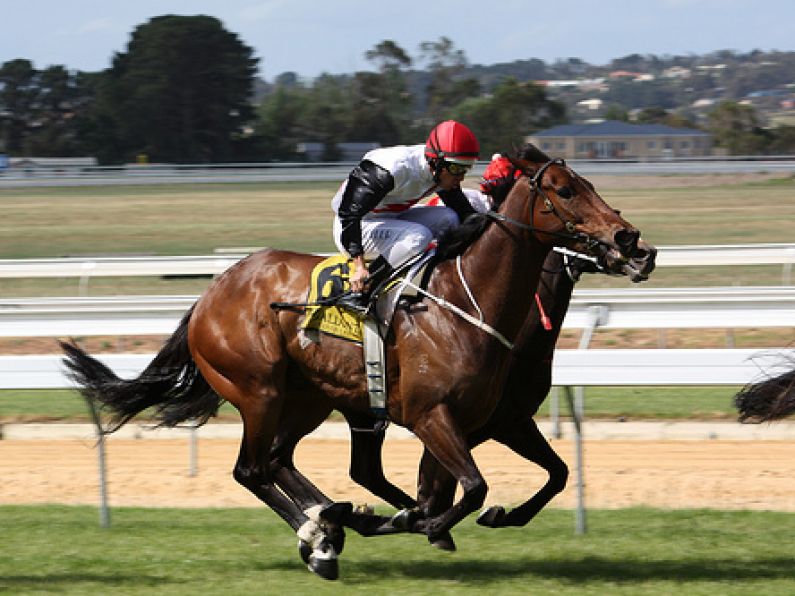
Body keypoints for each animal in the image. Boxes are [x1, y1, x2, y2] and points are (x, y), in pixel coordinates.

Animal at [60, 146, 648, 584]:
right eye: (566, 191)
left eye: (589, 183)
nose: (631, 240)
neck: (467, 301)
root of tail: (211, 293)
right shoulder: (435, 417)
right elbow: (469, 488)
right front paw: (417, 520)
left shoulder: (492, 419)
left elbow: (551, 474)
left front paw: (456, 517)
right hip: (259, 390)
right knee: (253, 468)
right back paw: (320, 537)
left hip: (309, 398)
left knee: (280, 461)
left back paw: (330, 521)